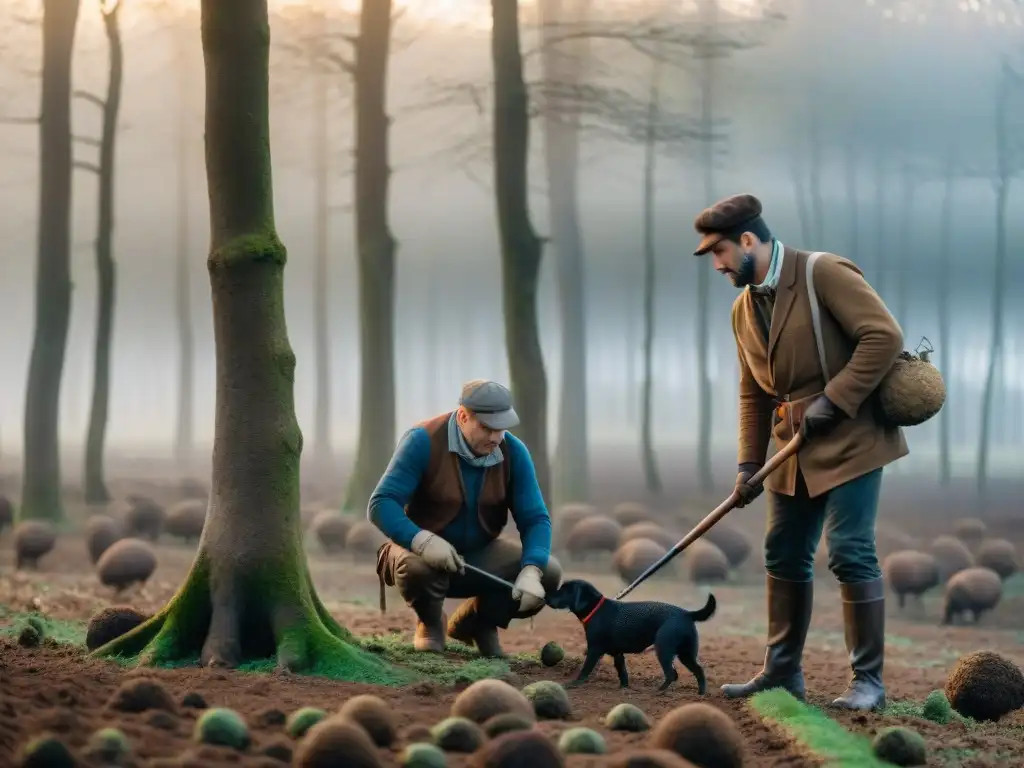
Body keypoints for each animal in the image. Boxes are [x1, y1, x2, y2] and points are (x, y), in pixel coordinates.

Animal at [548, 581, 716, 696]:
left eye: (564, 591)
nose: (546, 596)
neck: (595, 609)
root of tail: (687, 613)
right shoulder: (617, 654)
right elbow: (623, 673)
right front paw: (624, 689)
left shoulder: (594, 650)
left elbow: (585, 670)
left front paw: (573, 684)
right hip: (686, 654)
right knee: (699, 671)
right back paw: (701, 694)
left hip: (664, 650)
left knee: (672, 674)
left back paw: (658, 691)